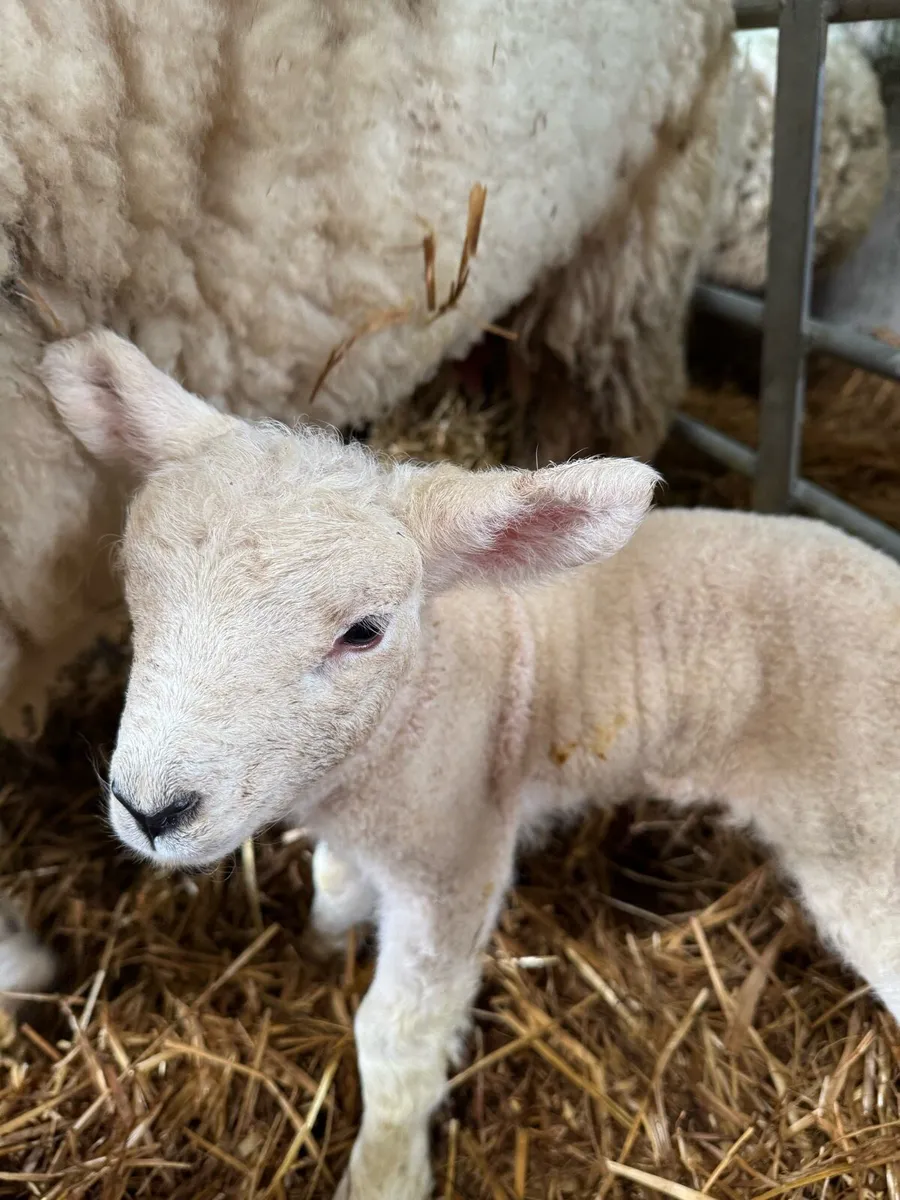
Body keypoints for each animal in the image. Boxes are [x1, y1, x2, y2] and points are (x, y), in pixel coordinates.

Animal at [35, 331, 900, 1199]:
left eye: (364, 631)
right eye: (134, 583)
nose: (150, 810)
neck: (411, 704)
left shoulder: (453, 856)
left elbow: (397, 1035)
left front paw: (384, 1172)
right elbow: (333, 881)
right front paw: (324, 945)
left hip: (864, 837)